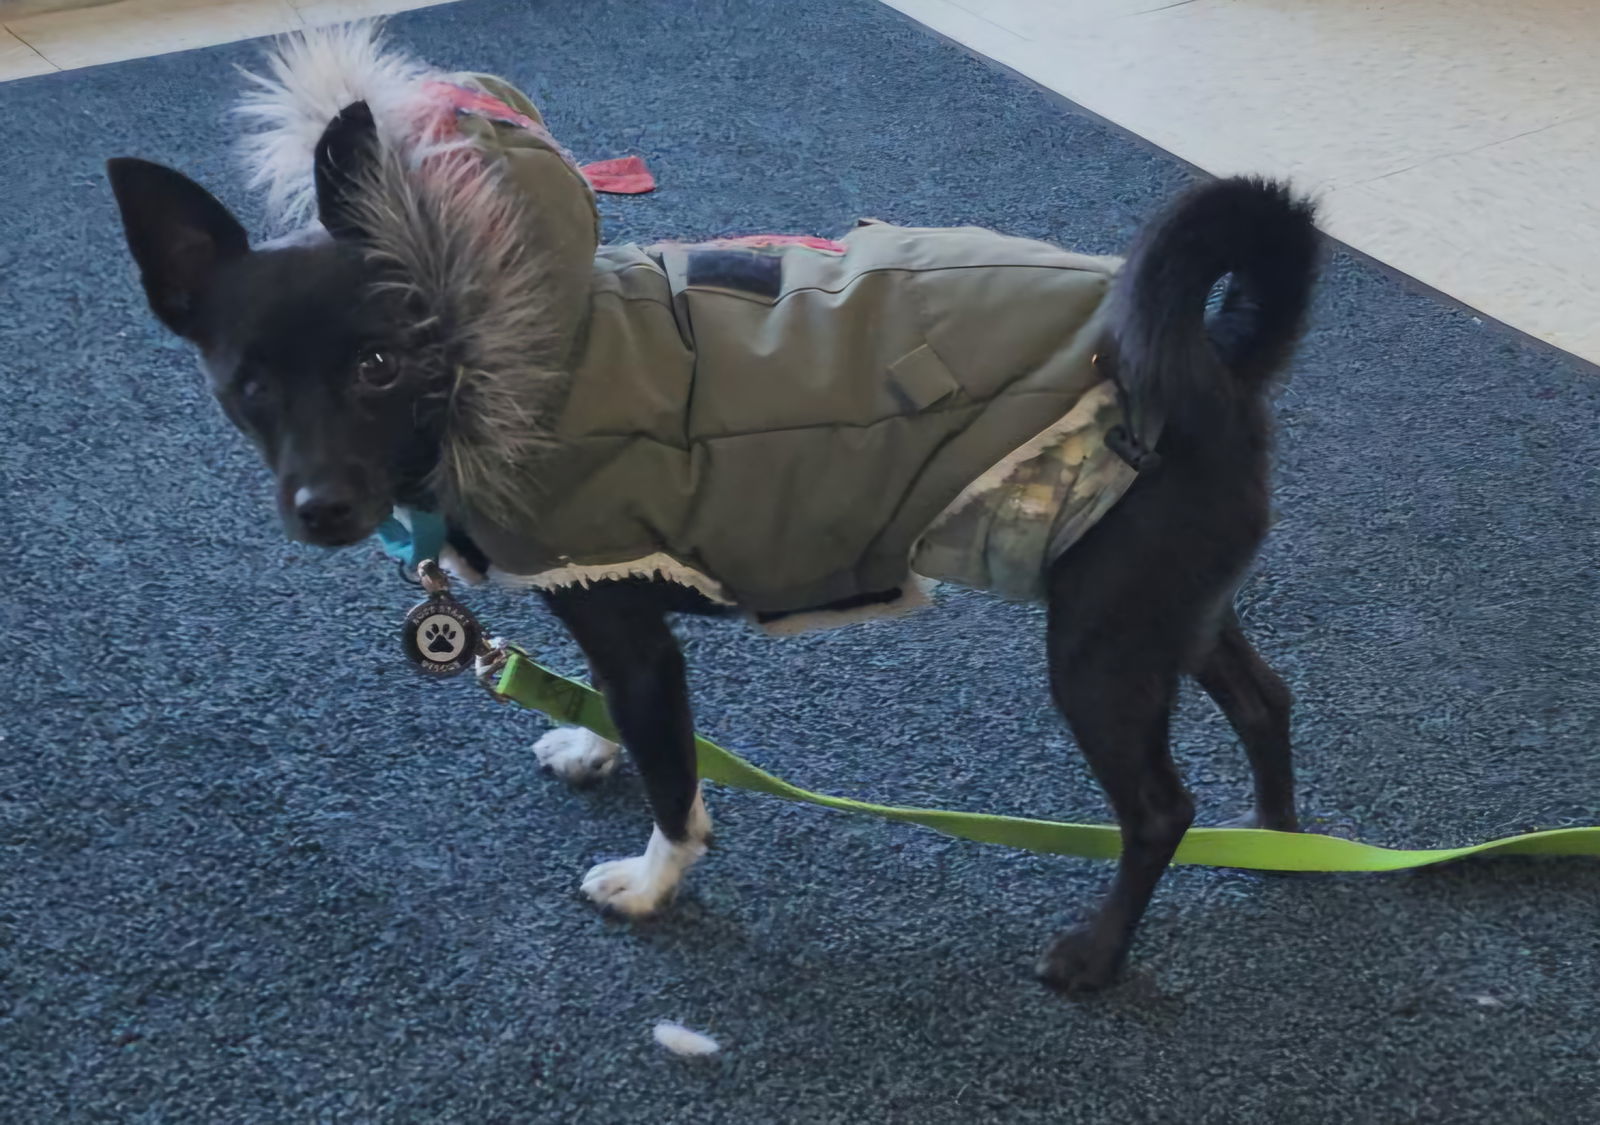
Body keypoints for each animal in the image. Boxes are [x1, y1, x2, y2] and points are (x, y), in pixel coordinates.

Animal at [106, 145, 1318, 998]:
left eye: (377, 365)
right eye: (247, 385)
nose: (321, 509)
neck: (496, 368)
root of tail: (1219, 352)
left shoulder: (635, 637)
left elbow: (672, 777)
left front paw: (652, 881)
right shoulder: (603, 615)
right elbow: (627, 728)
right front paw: (589, 744)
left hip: (1101, 644)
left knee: (1158, 808)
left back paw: (1099, 954)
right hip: (1168, 605)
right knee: (1265, 701)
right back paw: (1279, 842)